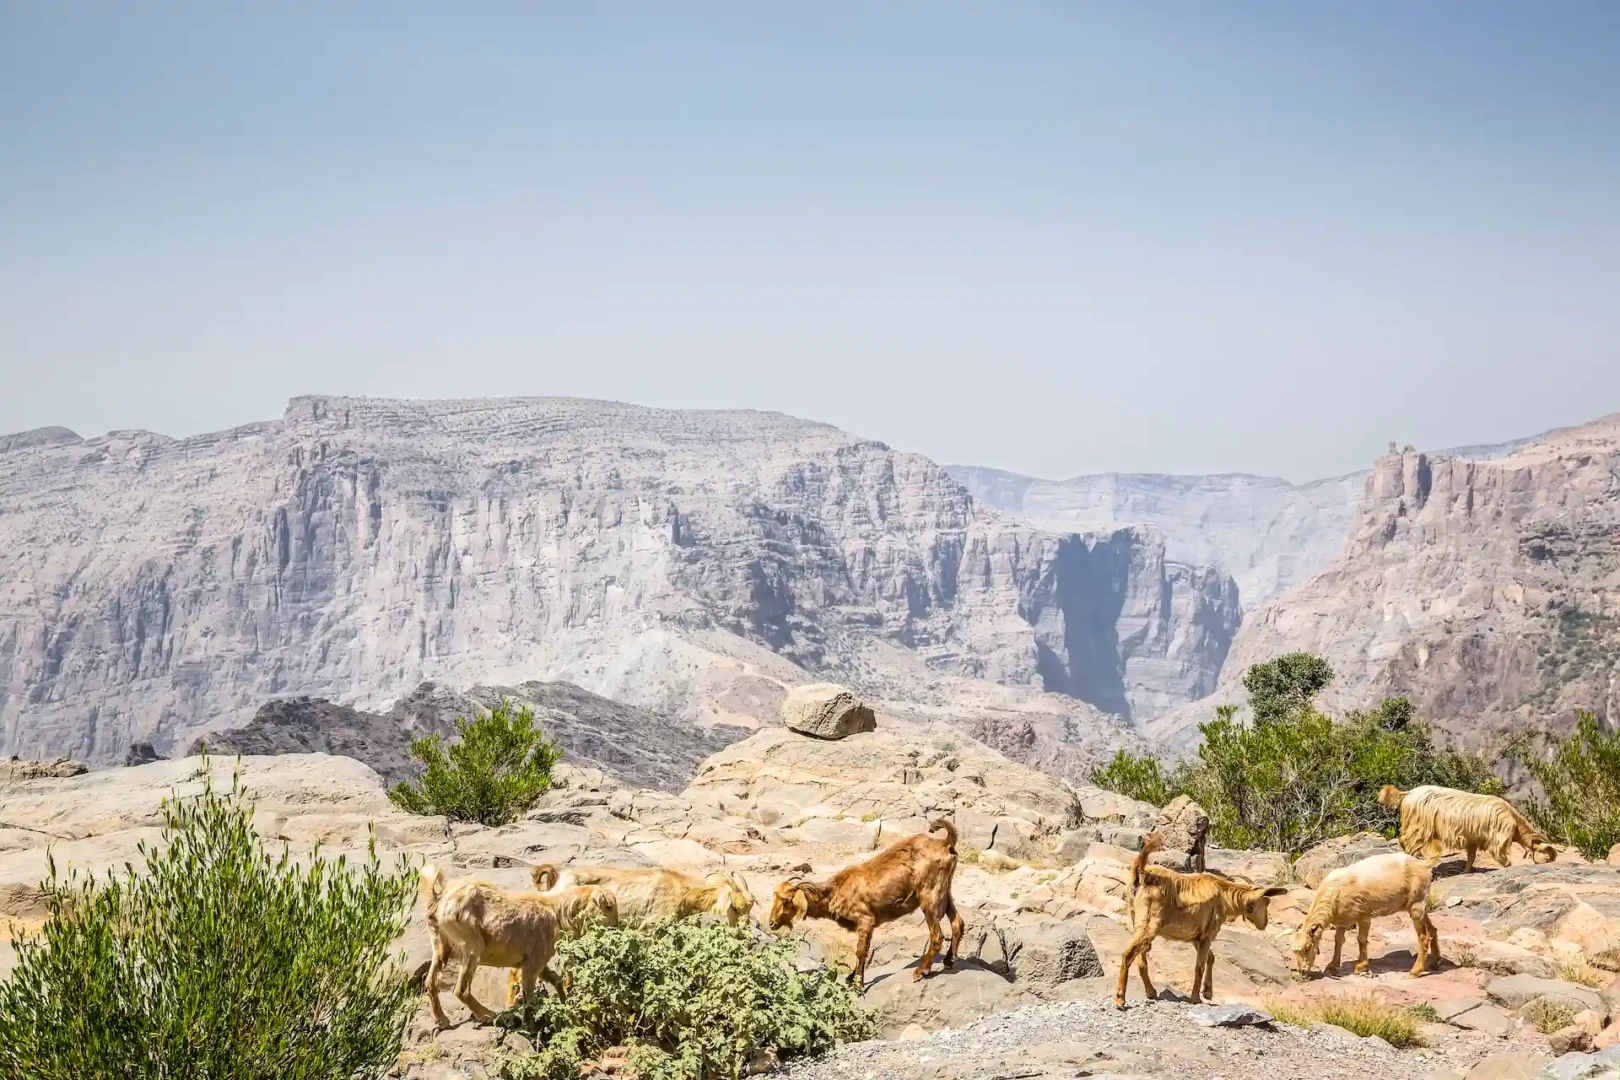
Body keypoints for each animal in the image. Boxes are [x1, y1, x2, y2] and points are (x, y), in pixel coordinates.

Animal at [420, 865, 563, 1030]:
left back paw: (443, 1020)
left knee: (431, 983)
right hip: (471, 946)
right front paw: (530, 1027)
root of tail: (437, 899)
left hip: (440, 945)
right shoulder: (533, 963)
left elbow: (555, 979)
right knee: (461, 990)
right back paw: (487, 1015)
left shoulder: (536, 962)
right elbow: (528, 997)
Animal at [767, 818, 963, 990]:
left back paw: (921, 971)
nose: (771, 923)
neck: (836, 890)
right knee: (958, 923)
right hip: (945, 890)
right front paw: (851, 978)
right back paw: (948, 961)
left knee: (937, 935)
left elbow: (861, 951)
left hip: (929, 893)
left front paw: (858, 984)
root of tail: (945, 842)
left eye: (787, 901)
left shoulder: (865, 920)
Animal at [1115, 832, 1287, 1009]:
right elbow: (1199, 966)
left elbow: (1210, 957)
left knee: (1141, 959)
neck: (1224, 896)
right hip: (1149, 925)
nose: (1264, 923)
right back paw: (1120, 999)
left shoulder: (1197, 937)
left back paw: (1151, 992)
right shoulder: (1208, 934)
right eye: (1266, 902)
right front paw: (1196, 997)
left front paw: (1208, 991)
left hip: (1137, 921)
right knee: (1128, 954)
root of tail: (1142, 872)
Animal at [1292, 851, 1438, 979]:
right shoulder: (1342, 921)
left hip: (1416, 905)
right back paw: (1435, 962)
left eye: (1307, 948)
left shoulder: (1364, 917)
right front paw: (1332, 966)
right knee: (1432, 930)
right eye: (1294, 951)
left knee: (1423, 937)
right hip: (1416, 905)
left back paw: (1415, 971)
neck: (1334, 893)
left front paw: (1360, 967)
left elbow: (1361, 940)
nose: (1302, 972)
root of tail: (1423, 864)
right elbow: (1338, 941)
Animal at [1378, 784, 1556, 870]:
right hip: (1419, 826)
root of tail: (1407, 794)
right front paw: (1507, 865)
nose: (1550, 859)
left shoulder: (1473, 839)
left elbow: (1471, 857)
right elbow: (1499, 854)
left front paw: (1466, 871)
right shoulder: (1499, 834)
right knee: (1410, 844)